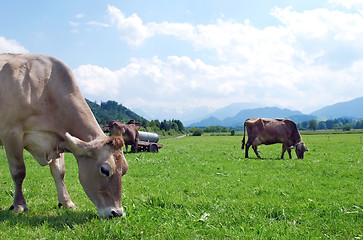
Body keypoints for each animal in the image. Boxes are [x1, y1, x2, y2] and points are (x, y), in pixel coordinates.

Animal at [0, 53, 129, 218]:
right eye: (105, 170)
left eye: (124, 170)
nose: (117, 213)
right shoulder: (11, 134)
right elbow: (18, 172)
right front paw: (19, 204)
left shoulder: (58, 138)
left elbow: (59, 172)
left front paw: (66, 202)